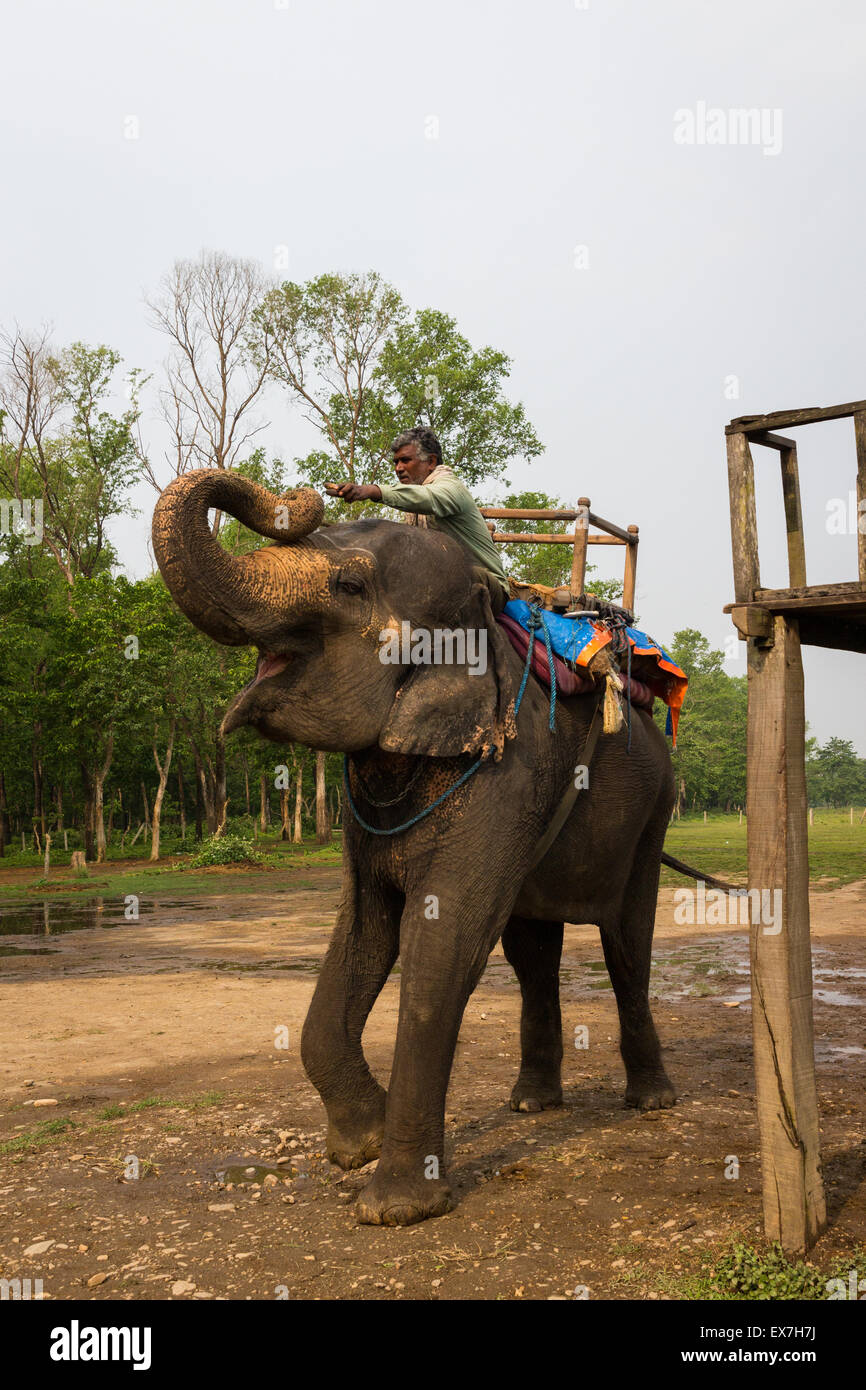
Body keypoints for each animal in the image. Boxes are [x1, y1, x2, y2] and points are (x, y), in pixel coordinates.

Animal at [153, 469, 677, 1226]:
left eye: (348, 586)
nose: (304, 495)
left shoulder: (508, 772)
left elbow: (443, 937)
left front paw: (395, 1208)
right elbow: (363, 927)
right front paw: (360, 1144)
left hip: (654, 813)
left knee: (626, 944)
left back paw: (651, 1101)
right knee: (531, 952)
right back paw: (531, 1104)